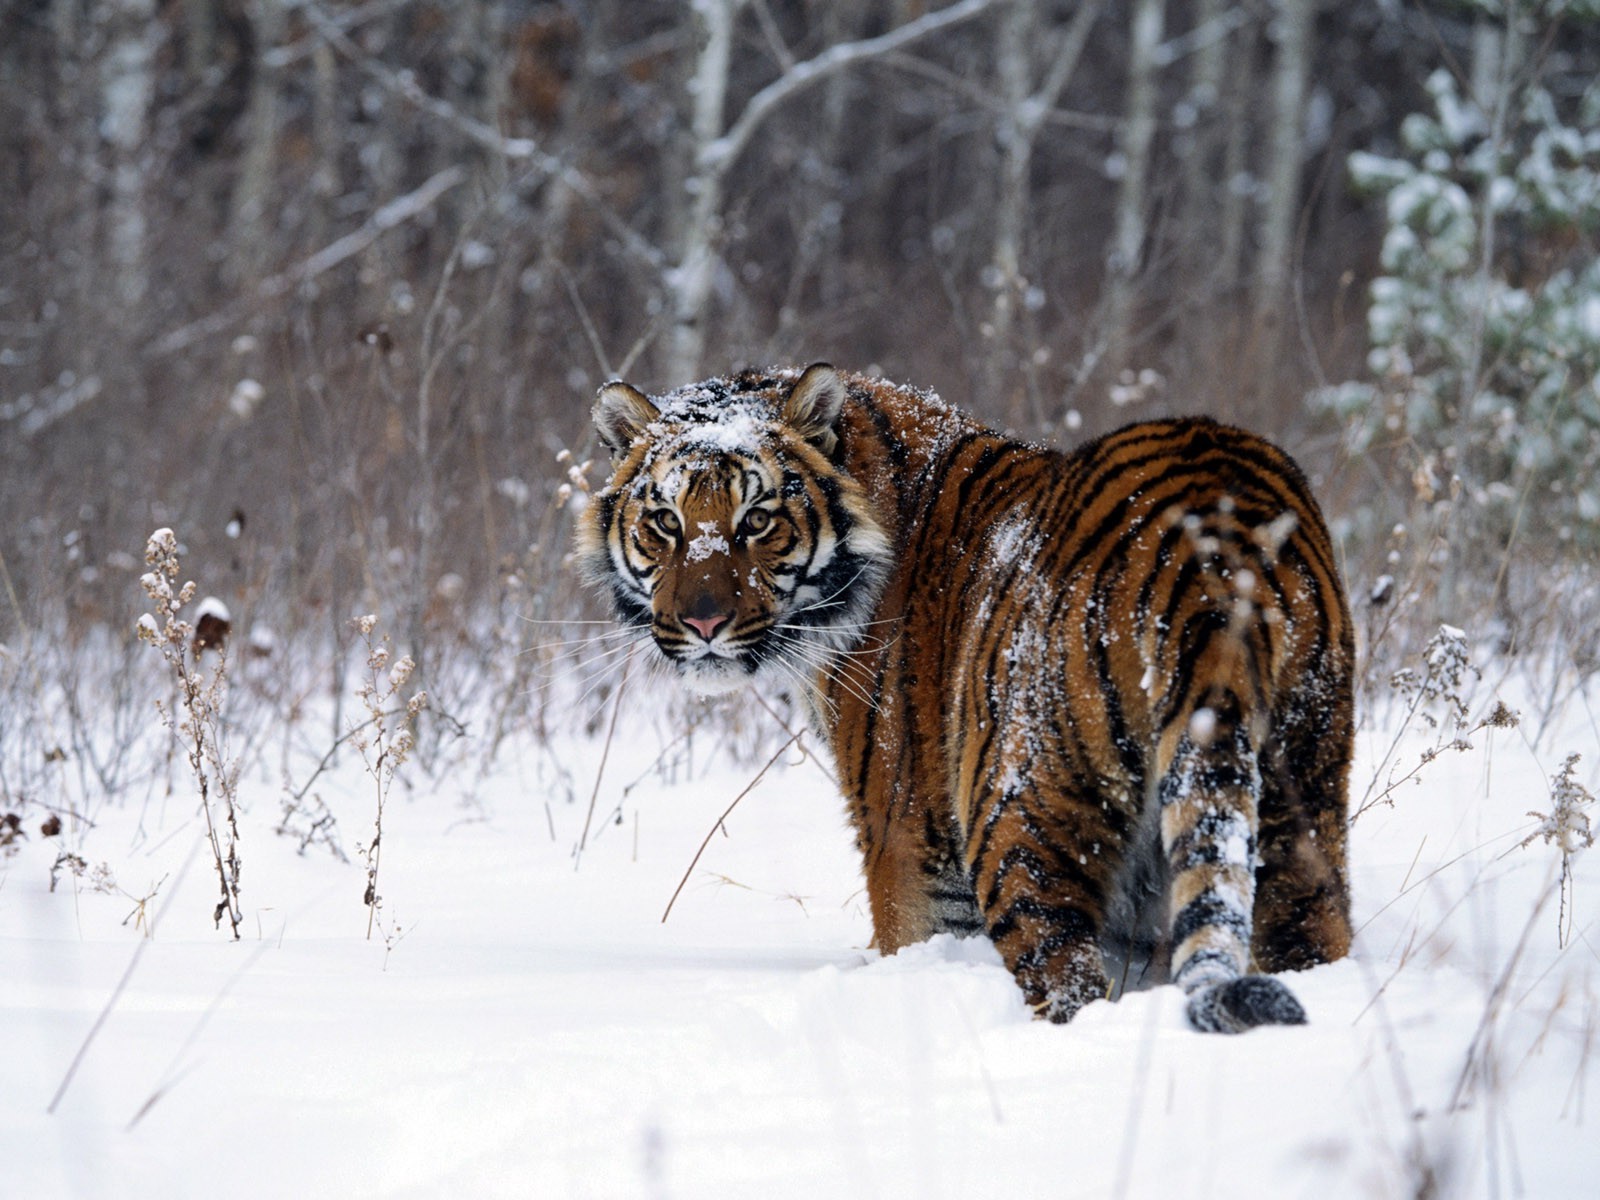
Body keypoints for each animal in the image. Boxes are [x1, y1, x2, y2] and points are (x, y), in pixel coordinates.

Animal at [578, 363, 1353, 1033]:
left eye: (758, 520)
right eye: (667, 522)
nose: (703, 623)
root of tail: (1213, 547)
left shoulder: (908, 841)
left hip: (1020, 818)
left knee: (1066, 980)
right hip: (1302, 802)